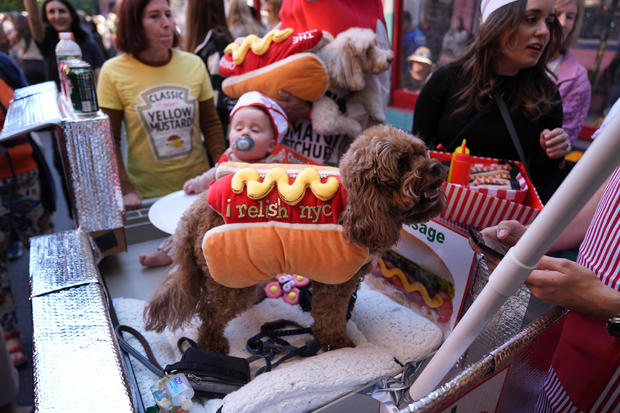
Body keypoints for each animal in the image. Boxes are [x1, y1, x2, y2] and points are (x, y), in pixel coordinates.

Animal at [144, 124, 446, 350]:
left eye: (422, 152)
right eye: (402, 163)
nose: (438, 167)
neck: (356, 207)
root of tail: (191, 215)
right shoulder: (334, 283)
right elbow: (330, 316)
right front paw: (337, 343)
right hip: (229, 280)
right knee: (210, 314)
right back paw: (212, 344)